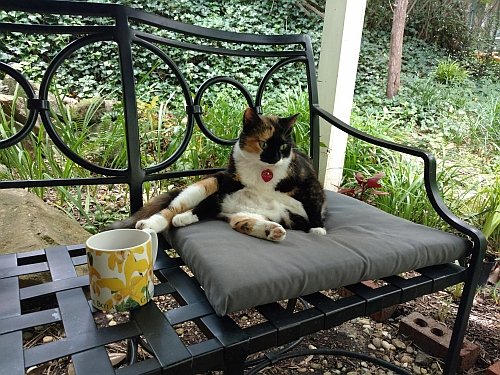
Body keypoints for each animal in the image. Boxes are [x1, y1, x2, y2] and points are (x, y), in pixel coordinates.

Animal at [108, 107, 328, 242]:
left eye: (283, 146)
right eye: (264, 144)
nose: (274, 159)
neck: (263, 173)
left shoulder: (309, 182)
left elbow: (314, 204)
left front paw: (317, 228)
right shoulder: (226, 185)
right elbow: (202, 205)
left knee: (240, 222)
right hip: (207, 185)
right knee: (174, 208)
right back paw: (156, 222)